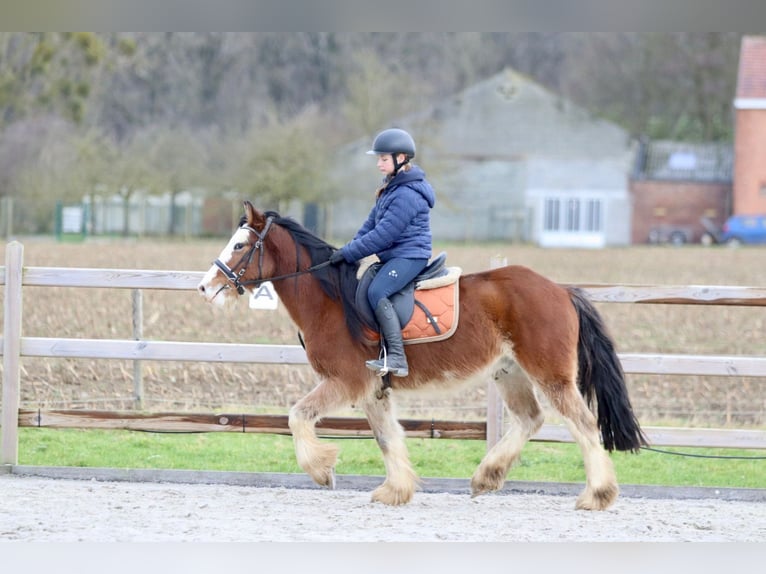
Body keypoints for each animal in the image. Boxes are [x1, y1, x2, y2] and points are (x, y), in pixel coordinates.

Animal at [198, 202, 648, 512]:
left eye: (240, 245)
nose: (206, 286)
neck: (331, 299)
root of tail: (560, 290)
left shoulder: (345, 382)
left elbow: (298, 417)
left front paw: (322, 470)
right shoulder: (372, 388)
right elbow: (386, 437)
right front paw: (395, 490)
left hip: (549, 373)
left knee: (584, 425)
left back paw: (597, 495)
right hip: (509, 372)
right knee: (529, 419)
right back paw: (486, 477)